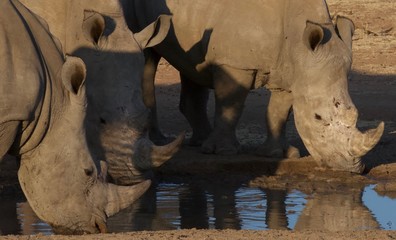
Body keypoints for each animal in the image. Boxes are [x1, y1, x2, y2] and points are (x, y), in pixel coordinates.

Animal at [122, 0, 382, 172]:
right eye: (317, 118)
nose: (352, 168)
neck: (299, 38)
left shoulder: (292, 72)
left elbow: (278, 112)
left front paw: (278, 154)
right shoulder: (234, 63)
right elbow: (232, 105)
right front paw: (225, 152)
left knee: (191, 65)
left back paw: (200, 141)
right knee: (148, 56)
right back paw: (160, 141)